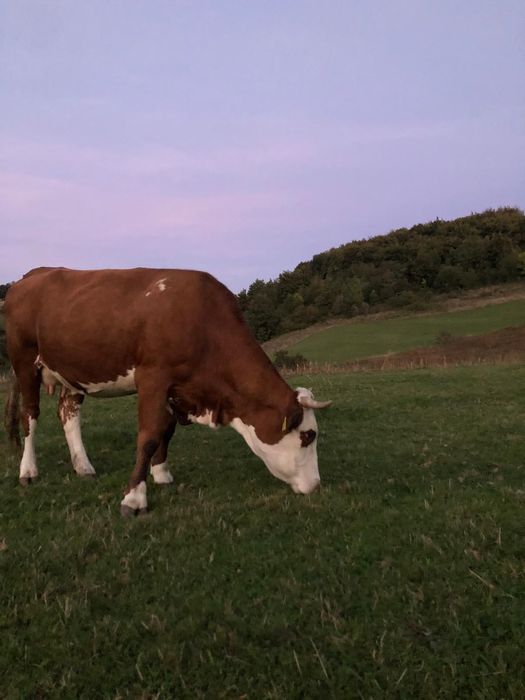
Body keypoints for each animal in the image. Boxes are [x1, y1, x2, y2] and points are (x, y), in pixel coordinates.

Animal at [3, 267, 331, 515]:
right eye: (308, 436)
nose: (316, 485)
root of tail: (34, 273)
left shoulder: (177, 388)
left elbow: (166, 430)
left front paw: (161, 474)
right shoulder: (153, 378)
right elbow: (148, 437)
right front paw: (134, 498)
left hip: (72, 370)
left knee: (68, 414)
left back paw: (83, 467)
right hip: (24, 361)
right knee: (29, 415)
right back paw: (28, 471)